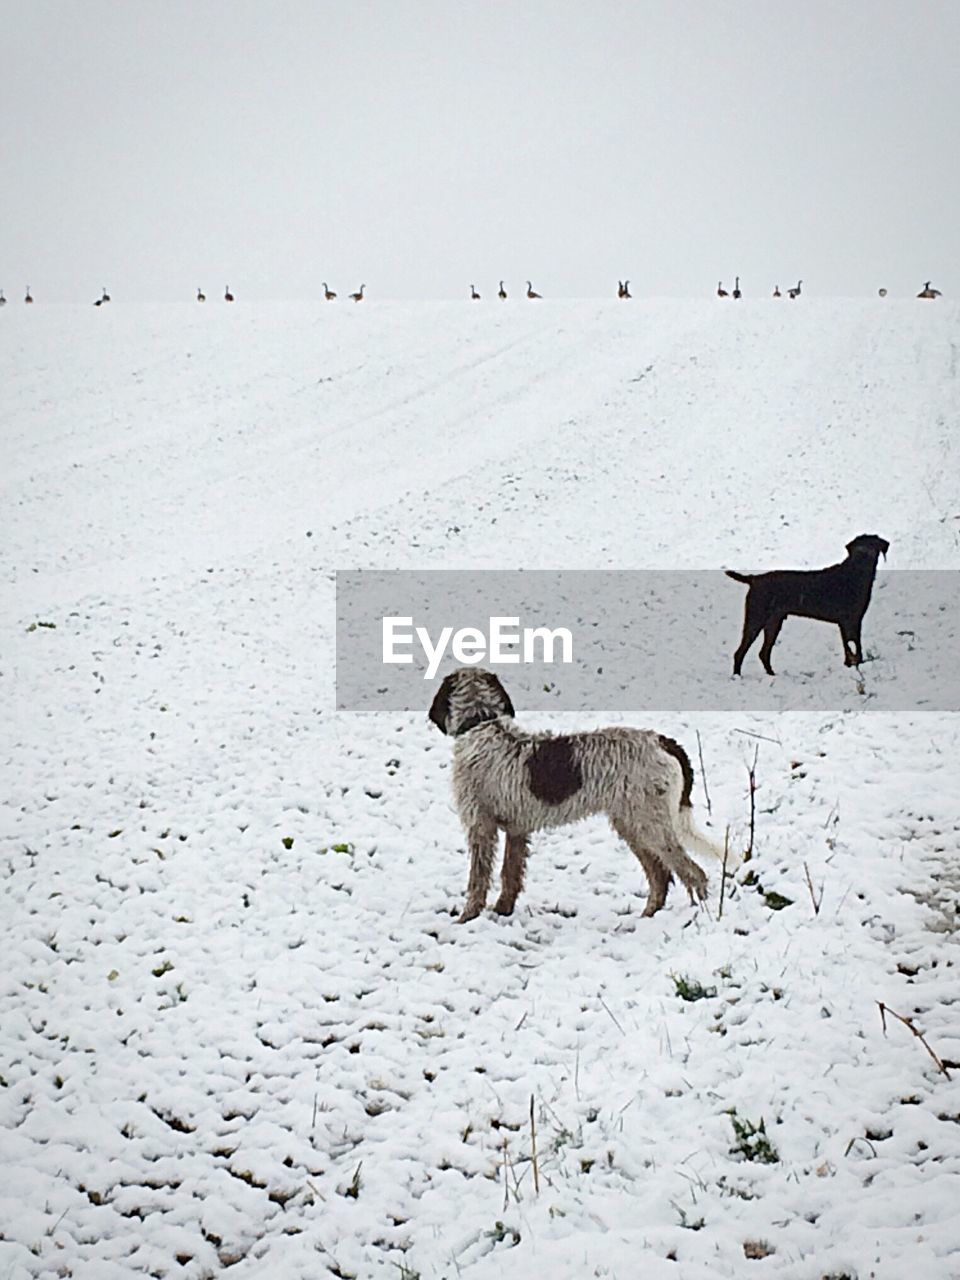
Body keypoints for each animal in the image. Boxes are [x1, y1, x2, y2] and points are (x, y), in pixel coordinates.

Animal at [427, 670, 727, 921]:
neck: (481, 723)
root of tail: (663, 742)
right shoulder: (516, 830)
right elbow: (510, 876)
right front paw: (503, 911)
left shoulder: (480, 827)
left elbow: (477, 880)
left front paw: (467, 918)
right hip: (633, 826)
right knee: (661, 876)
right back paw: (648, 916)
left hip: (650, 827)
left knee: (693, 873)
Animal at [727, 532, 896, 675]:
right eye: (861, 549)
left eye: (872, 547)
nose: (865, 558)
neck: (856, 573)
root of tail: (754, 579)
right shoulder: (847, 621)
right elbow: (851, 648)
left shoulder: (854, 621)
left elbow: (854, 647)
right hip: (756, 619)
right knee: (740, 652)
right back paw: (737, 677)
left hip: (773, 622)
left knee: (763, 653)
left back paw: (771, 675)